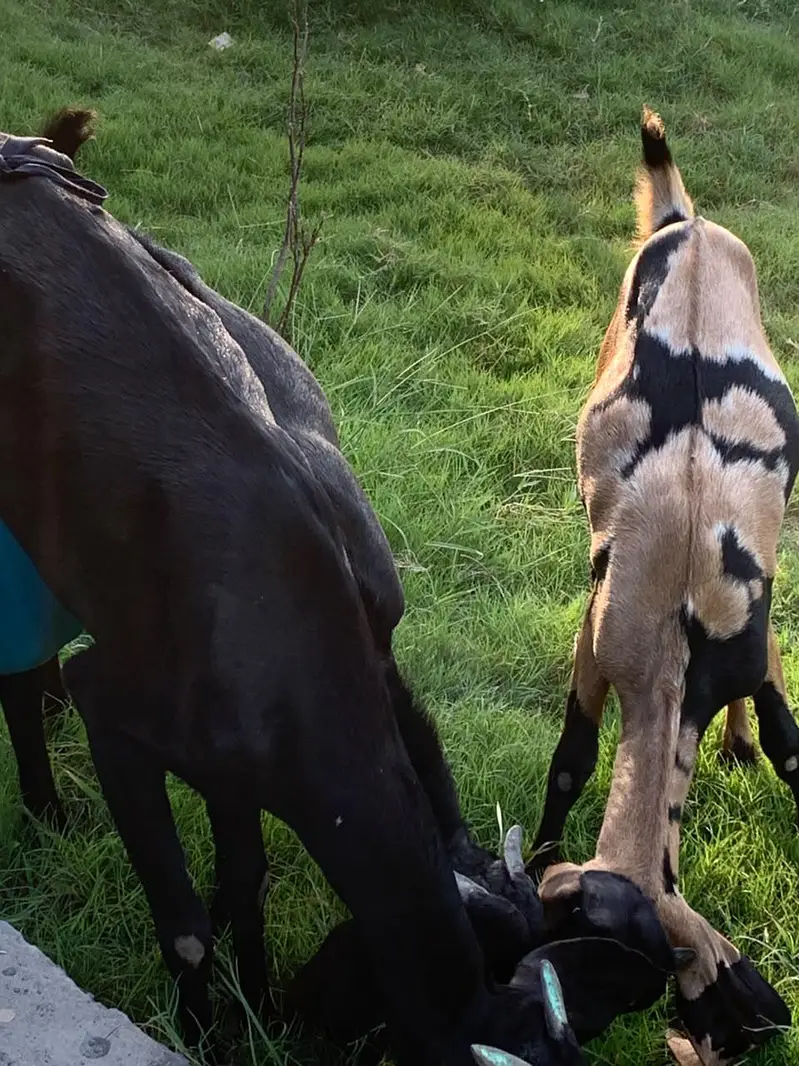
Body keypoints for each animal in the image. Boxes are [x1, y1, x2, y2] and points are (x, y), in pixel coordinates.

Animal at [0, 108, 651, 1066]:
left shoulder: (237, 761)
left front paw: (255, 1007)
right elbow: (188, 922)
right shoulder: (115, 706)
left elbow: (245, 878)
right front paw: (203, 1030)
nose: (309, 1015)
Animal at [529, 108, 796, 1064]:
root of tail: (685, 219)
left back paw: (736, 743)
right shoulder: (598, 634)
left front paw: (757, 747)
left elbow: (790, 743)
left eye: (636, 981)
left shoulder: (749, 639)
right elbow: (571, 761)